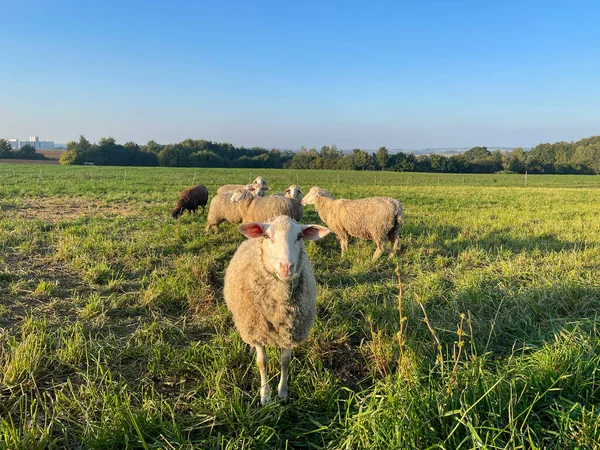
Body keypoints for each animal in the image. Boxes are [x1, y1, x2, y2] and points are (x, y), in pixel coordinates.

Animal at [224, 214, 330, 404]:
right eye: (266, 236)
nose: (286, 267)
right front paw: (265, 395)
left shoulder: (290, 331)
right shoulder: (257, 329)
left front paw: (282, 393)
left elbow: (285, 361)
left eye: (300, 236)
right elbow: (262, 362)